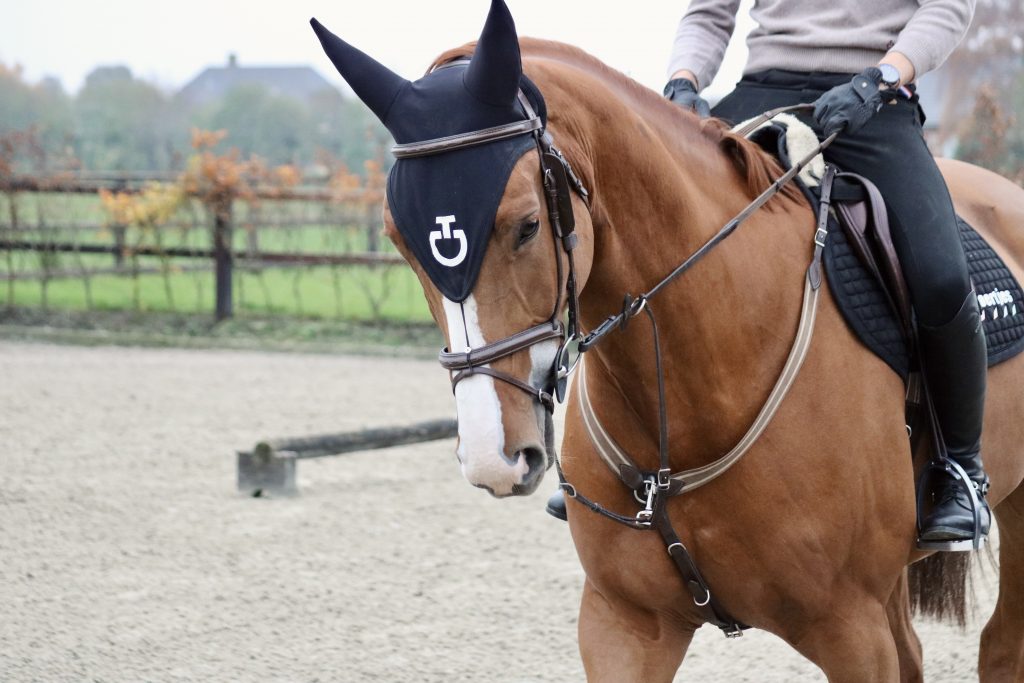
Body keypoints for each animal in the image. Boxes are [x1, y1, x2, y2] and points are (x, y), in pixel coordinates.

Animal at [311, 3, 1024, 679]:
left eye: (527, 225)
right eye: (400, 238)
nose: (492, 457)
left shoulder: (853, 633)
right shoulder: (624, 625)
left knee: (999, 649)